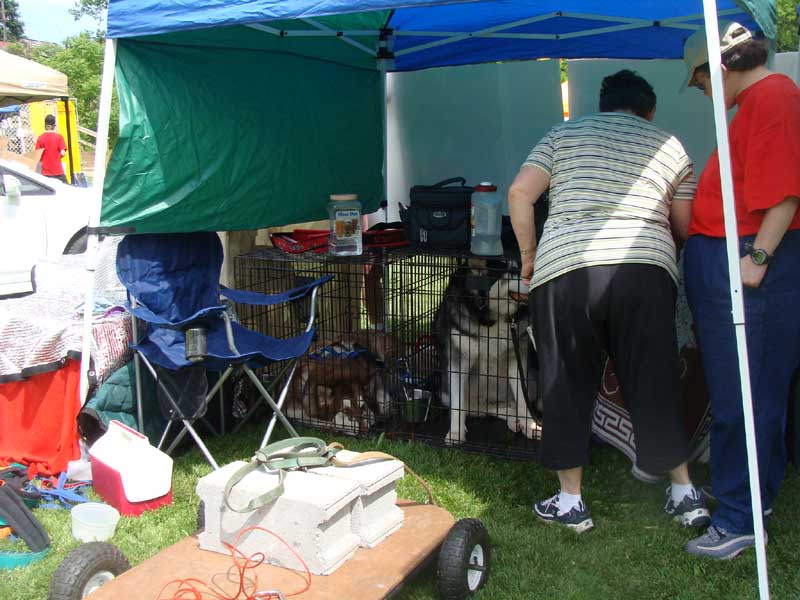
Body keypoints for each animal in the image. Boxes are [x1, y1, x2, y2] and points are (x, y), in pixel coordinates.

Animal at [434, 258, 540, 446]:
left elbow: (522, 398)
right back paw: (511, 418)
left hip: (532, 379)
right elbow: (458, 405)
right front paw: (455, 433)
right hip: (445, 392)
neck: (494, 316)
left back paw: (516, 419)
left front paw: (530, 425)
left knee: (510, 404)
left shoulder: (516, 359)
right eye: (512, 270)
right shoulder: (458, 361)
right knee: (482, 409)